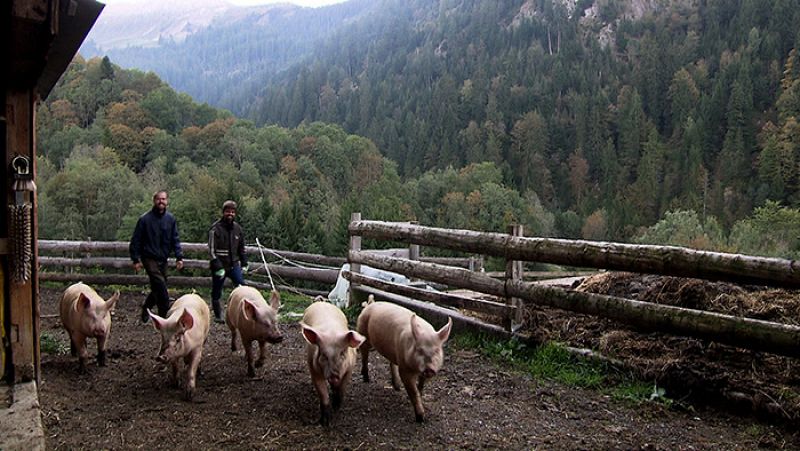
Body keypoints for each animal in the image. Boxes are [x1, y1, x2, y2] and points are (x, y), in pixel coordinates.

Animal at [300, 298, 366, 426]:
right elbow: (323, 393)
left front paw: (336, 407)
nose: (334, 375)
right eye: (323, 355)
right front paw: (325, 422)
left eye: (343, 353)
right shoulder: (313, 368)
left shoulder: (350, 368)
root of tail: (322, 302)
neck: (332, 334)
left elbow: (342, 388)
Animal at [360, 296, 454, 424]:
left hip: (393, 352)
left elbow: (421, 386)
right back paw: (366, 379)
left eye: (436, 350)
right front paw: (420, 418)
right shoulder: (404, 369)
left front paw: (419, 392)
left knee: (391, 363)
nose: (429, 369)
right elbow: (412, 391)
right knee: (364, 355)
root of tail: (370, 304)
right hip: (363, 332)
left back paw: (397, 387)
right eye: (419, 349)